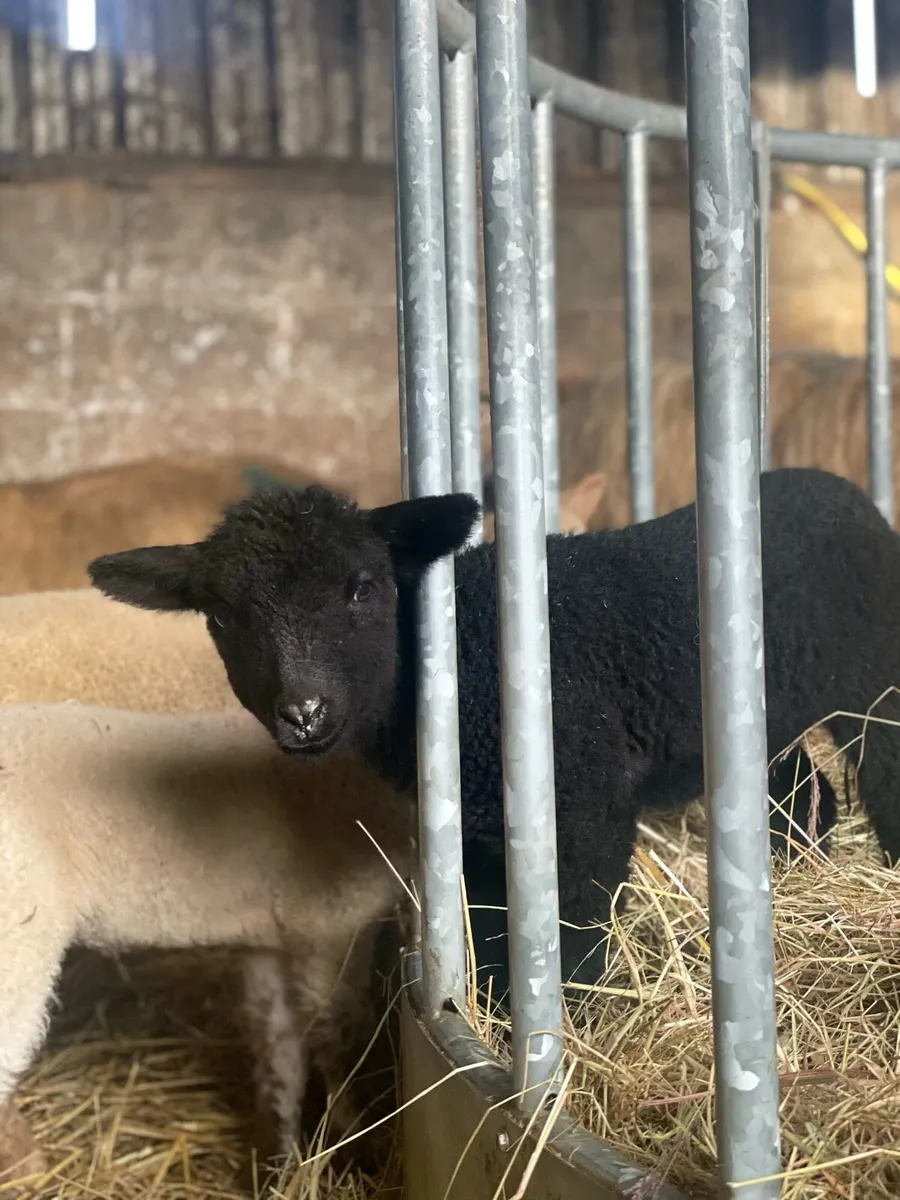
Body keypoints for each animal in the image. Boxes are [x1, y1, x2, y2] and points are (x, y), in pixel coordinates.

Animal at [0, 701, 412, 1190]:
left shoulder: (274, 939)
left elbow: (279, 1051)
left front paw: (277, 1159)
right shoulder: (332, 927)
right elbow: (339, 1039)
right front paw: (354, 1143)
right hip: (20, 926)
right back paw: (27, 1169)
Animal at [88, 466, 900, 995]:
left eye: (363, 588)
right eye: (222, 618)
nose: (304, 712)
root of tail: (842, 488)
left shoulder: (583, 804)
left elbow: (571, 937)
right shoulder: (478, 829)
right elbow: (488, 929)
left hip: (875, 683)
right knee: (807, 794)